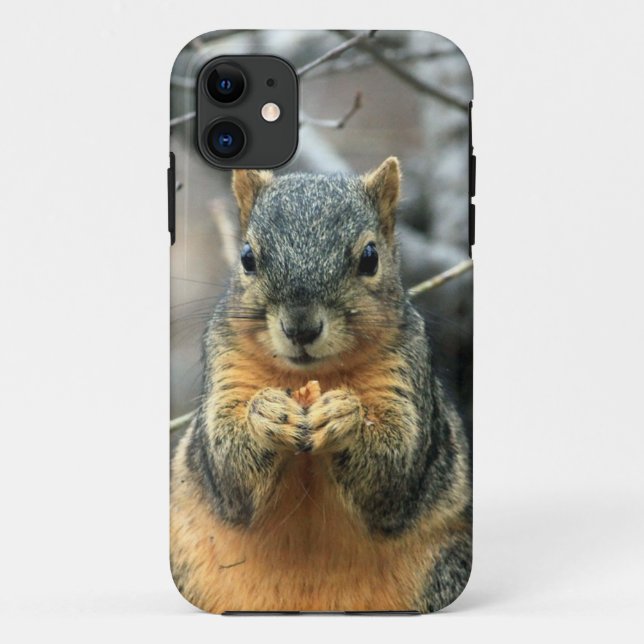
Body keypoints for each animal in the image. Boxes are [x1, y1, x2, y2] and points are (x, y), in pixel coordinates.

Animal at [170, 157, 472, 613]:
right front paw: (267, 414)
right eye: (247, 257)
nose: (301, 328)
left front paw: (345, 416)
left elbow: (396, 470)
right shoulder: (226, 364)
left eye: (370, 258)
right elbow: (227, 470)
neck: (310, 377)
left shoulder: (405, 372)